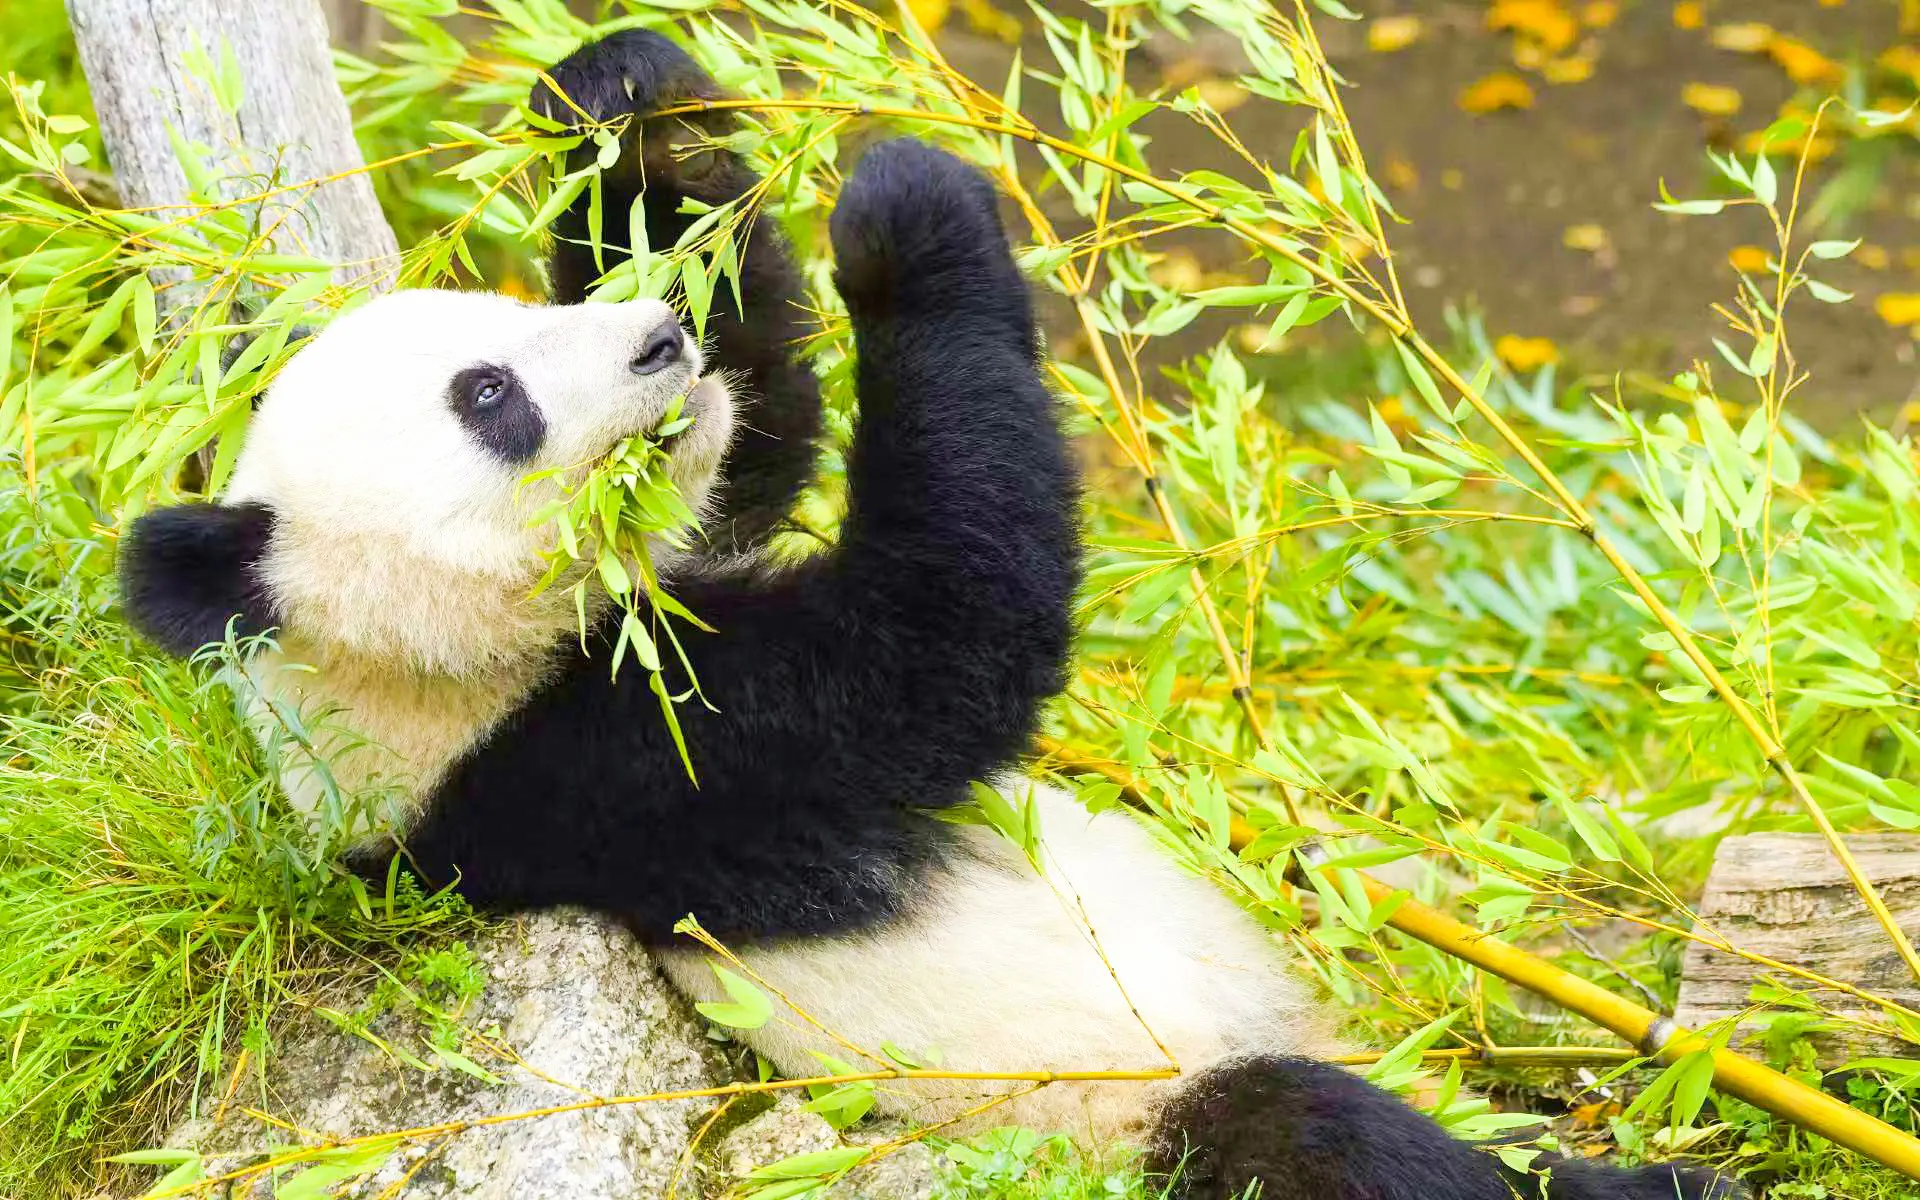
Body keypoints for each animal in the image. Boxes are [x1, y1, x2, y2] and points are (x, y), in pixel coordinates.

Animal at [118, 30, 1736, 1200]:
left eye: (507, 326)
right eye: (491, 398)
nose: (655, 343)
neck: (409, 675)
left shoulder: (678, 579)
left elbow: (765, 437)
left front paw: (623, 109)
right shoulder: (611, 764)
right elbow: (938, 646)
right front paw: (906, 214)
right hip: (1120, 1112)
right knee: (1339, 1149)